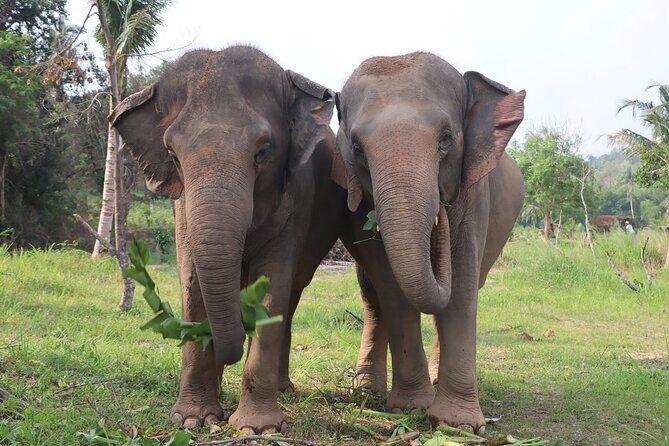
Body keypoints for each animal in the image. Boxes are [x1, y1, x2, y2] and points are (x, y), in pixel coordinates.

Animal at [110, 46, 348, 433]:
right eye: (172, 155)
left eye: (263, 151)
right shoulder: (182, 207)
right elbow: (192, 282)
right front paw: (193, 419)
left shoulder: (296, 198)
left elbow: (272, 285)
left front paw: (256, 428)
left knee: (292, 297)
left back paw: (283, 389)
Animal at [331, 52, 526, 434]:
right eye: (357, 148)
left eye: (446, 139)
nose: (440, 214)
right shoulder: (356, 199)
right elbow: (391, 286)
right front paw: (409, 408)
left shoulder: (475, 192)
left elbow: (462, 285)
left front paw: (460, 425)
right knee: (372, 295)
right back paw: (366, 391)